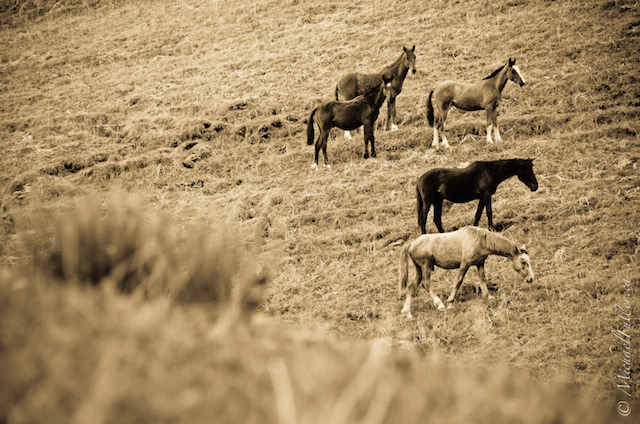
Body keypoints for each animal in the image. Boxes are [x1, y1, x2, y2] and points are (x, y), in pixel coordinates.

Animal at [398, 226, 534, 318]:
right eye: (523, 261)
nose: (531, 279)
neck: (479, 239)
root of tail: (411, 243)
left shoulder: (480, 263)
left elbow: (482, 278)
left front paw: (488, 296)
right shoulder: (465, 264)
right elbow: (458, 281)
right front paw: (450, 302)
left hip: (419, 269)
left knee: (411, 287)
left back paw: (407, 312)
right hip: (426, 266)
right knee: (426, 284)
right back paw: (440, 304)